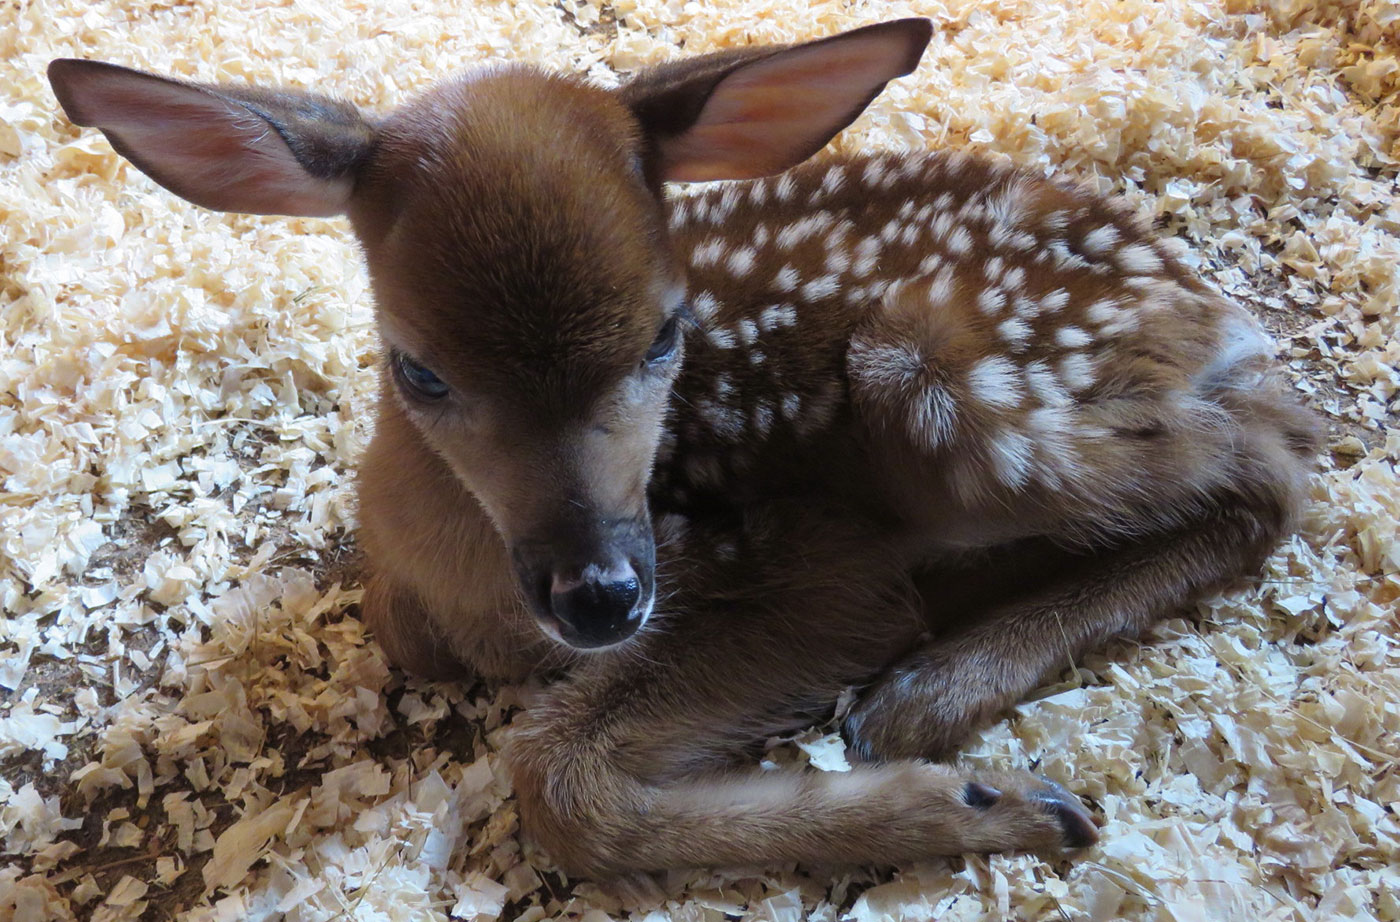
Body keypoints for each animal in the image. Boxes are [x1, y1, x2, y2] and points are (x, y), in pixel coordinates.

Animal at [49, 18, 1316, 878]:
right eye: (419, 369)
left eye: (667, 331)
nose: (602, 592)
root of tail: (1205, 304)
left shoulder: (808, 573)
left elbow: (552, 779)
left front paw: (987, 803)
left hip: (942, 380)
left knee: (1270, 468)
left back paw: (929, 689)